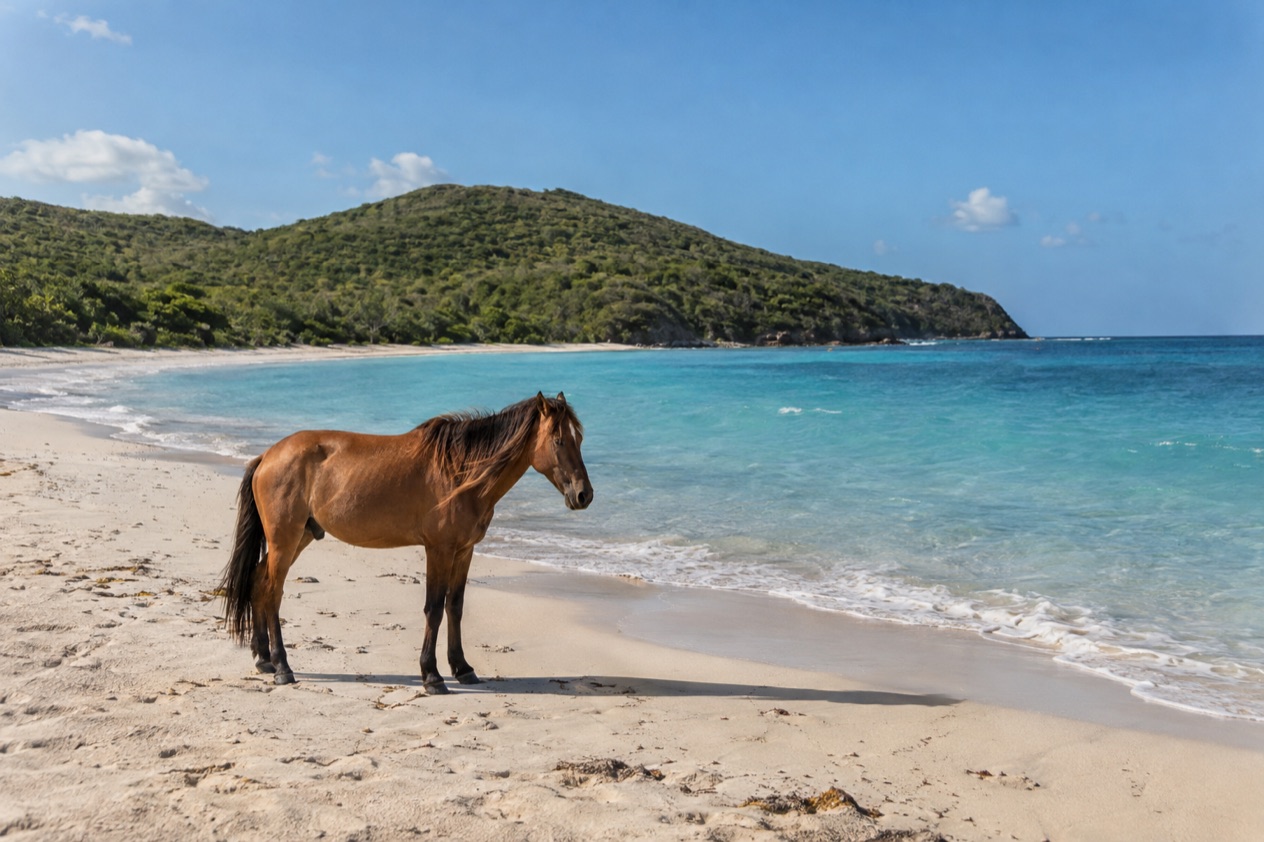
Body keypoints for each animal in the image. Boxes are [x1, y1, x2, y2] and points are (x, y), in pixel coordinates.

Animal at [218, 392, 592, 693]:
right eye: (559, 440)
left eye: (579, 439)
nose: (583, 495)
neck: (461, 472)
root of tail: (267, 456)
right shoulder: (439, 550)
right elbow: (434, 608)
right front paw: (432, 676)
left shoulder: (464, 550)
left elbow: (455, 607)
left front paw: (463, 668)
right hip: (286, 540)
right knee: (272, 592)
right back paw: (283, 667)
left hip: (299, 538)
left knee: (258, 583)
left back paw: (263, 658)